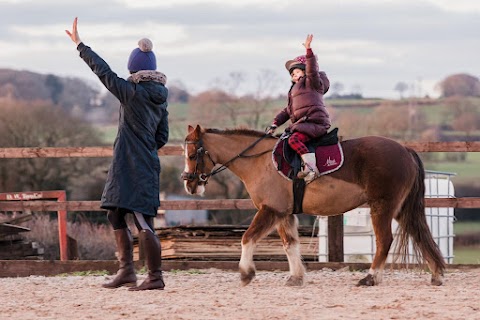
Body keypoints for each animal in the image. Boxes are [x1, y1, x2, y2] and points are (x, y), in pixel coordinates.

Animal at [182, 125, 444, 288]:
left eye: (193, 154)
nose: (189, 183)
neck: (260, 160)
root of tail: (405, 150)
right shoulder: (284, 214)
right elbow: (290, 245)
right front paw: (296, 277)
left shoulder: (270, 210)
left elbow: (247, 238)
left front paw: (246, 273)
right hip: (400, 209)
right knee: (420, 234)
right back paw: (437, 274)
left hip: (382, 207)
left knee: (384, 241)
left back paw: (370, 278)